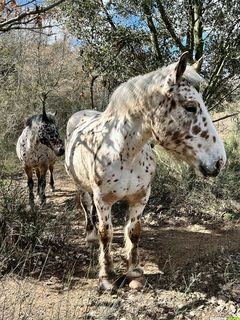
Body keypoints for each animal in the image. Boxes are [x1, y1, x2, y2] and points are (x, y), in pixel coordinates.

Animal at [64, 53, 226, 292]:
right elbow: (106, 233)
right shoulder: (103, 200)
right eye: (190, 107)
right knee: (87, 207)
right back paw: (90, 236)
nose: (219, 161)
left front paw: (135, 272)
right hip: (81, 186)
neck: (124, 152)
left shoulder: (140, 197)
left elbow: (134, 231)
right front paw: (107, 277)